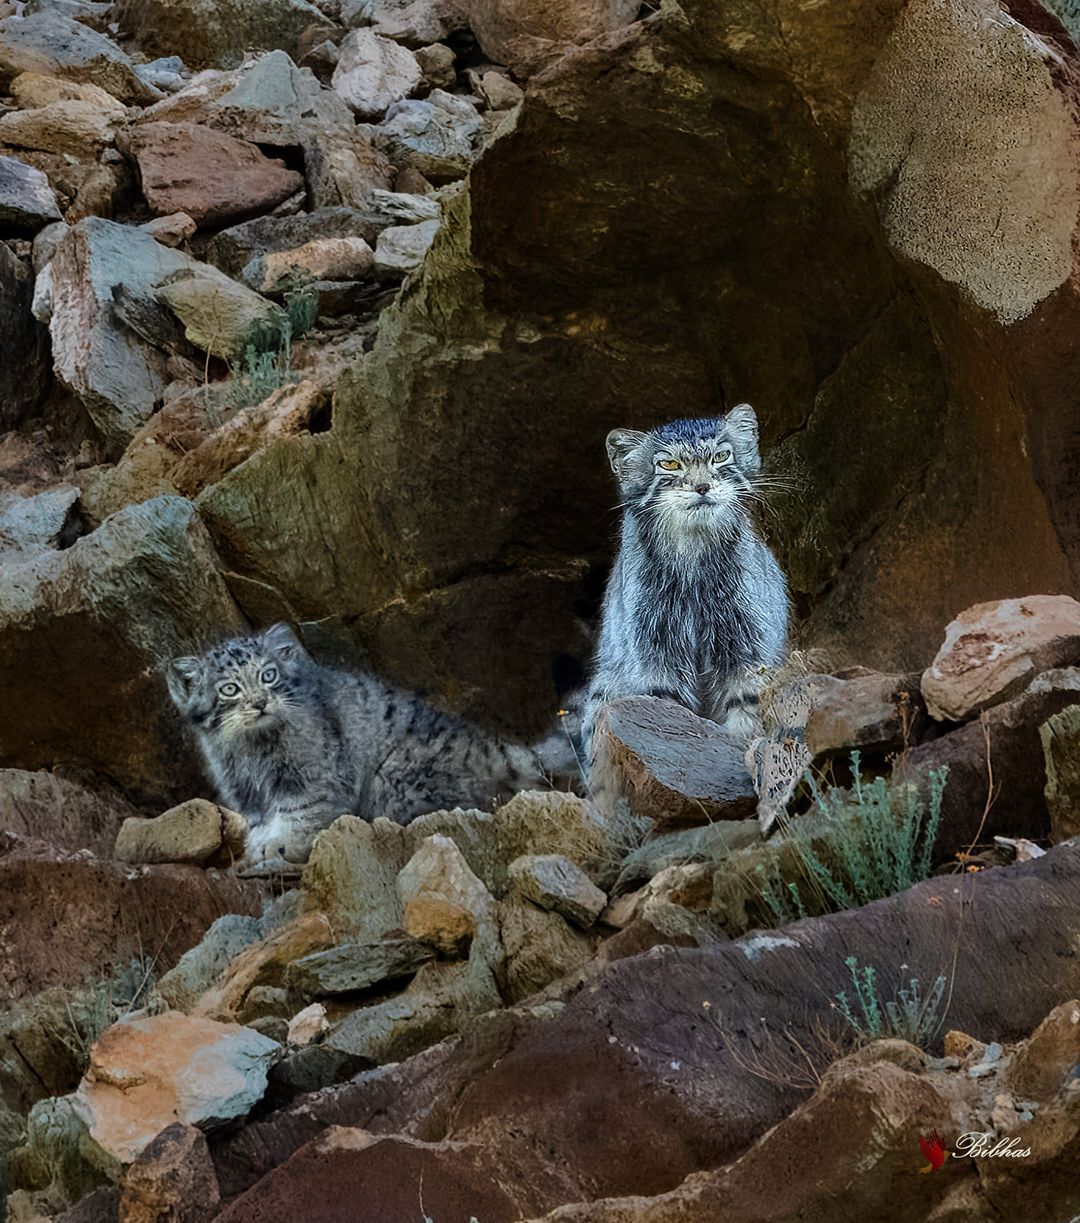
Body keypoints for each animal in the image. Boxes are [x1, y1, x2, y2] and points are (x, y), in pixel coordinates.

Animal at [166, 626, 545, 865]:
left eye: (268, 675)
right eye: (229, 688)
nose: (260, 702)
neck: (249, 747)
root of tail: (494, 748)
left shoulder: (315, 777)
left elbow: (301, 812)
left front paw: (278, 846)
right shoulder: (244, 789)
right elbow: (259, 820)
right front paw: (259, 843)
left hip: (393, 779)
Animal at [579, 408, 787, 753]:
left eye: (721, 456)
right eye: (669, 464)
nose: (702, 486)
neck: (693, 555)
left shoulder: (745, 643)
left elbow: (747, 702)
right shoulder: (654, 650)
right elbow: (665, 704)